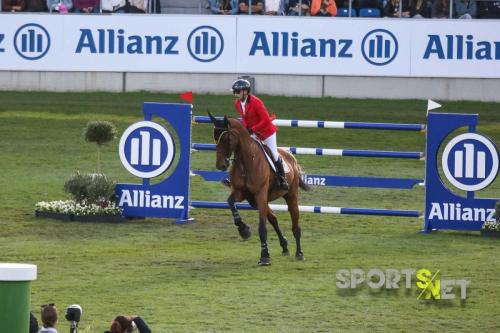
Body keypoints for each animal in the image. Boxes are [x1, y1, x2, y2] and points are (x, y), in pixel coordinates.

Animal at [207, 113, 308, 266]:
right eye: (215, 138)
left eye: (227, 138)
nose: (221, 165)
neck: (245, 161)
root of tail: (291, 157)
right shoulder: (241, 193)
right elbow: (230, 202)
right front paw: (243, 229)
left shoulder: (260, 194)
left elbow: (262, 227)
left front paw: (265, 256)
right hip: (254, 201)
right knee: (273, 218)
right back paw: (284, 246)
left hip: (290, 195)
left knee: (295, 224)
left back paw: (299, 253)